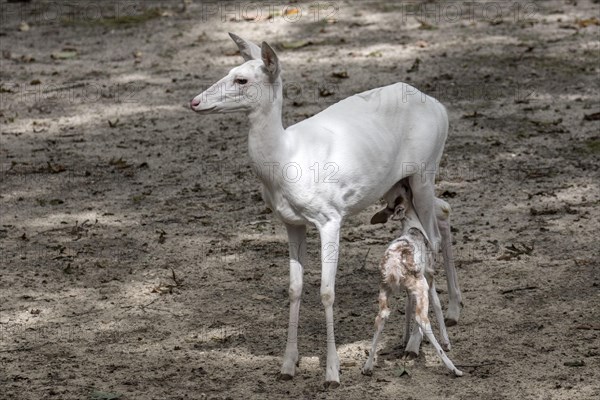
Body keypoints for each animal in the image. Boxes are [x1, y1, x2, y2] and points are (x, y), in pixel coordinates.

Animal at [192, 35, 450, 388]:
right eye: (230, 70)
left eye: (241, 79)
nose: (194, 101)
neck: (285, 160)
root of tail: (441, 107)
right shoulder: (290, 222)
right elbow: (294, 288)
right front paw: (288, 365)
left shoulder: (331, 216)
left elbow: (327, 291)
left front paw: (332, 373)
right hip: (402, 186)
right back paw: (414, 337)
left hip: (426, 171)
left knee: (432, 241)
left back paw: (421, 343)